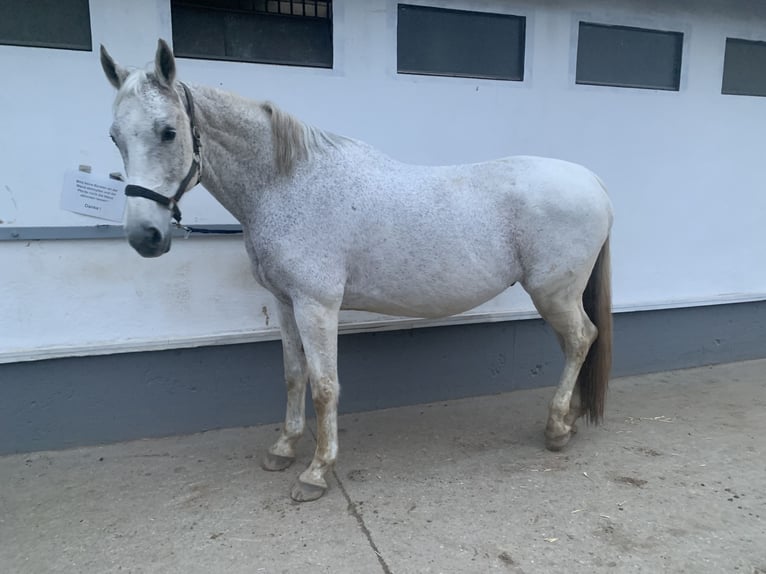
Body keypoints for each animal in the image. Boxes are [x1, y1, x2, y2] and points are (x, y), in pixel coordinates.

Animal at [100, 40, 613, 502]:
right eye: (115, 136)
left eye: (168, 132)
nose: (145, 236)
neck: (287, 184)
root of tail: (593, 180)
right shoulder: (285, 304)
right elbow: (294, 375)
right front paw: (283, 448)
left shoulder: (317, 306)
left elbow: (325, 387)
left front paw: (316, 472)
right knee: (577, 342)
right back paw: (571, 417)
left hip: (553, 293)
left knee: (581, 339)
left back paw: (556, 428)